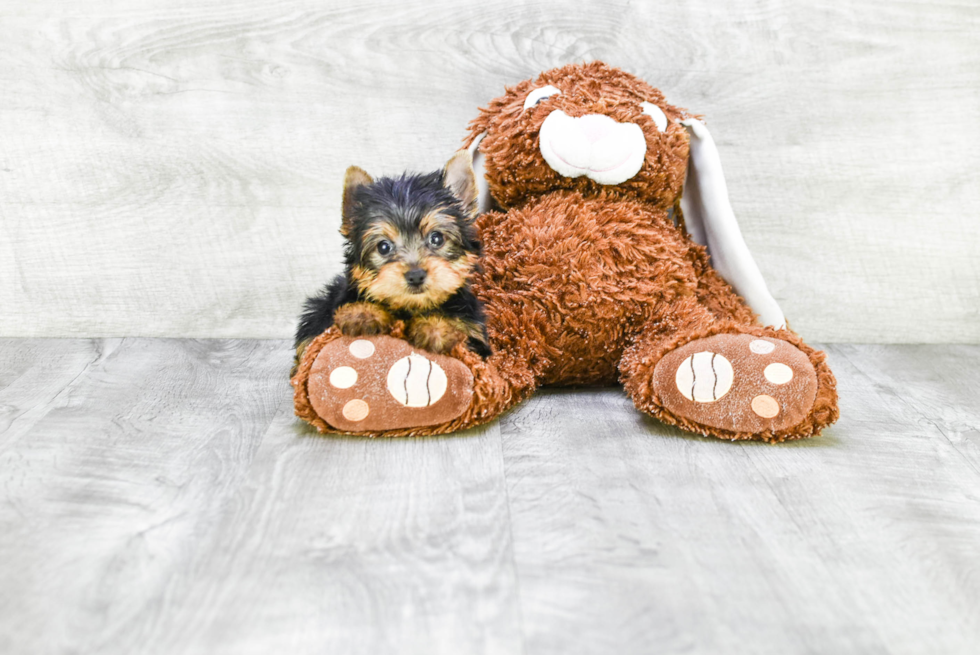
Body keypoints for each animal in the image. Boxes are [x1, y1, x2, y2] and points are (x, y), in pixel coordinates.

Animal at [290, 151, 490, 372]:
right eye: (383, 247)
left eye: (437, 238)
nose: (415, 275)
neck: (409, 308)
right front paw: (362, 313)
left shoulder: (476, 336)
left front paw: (436, 327)